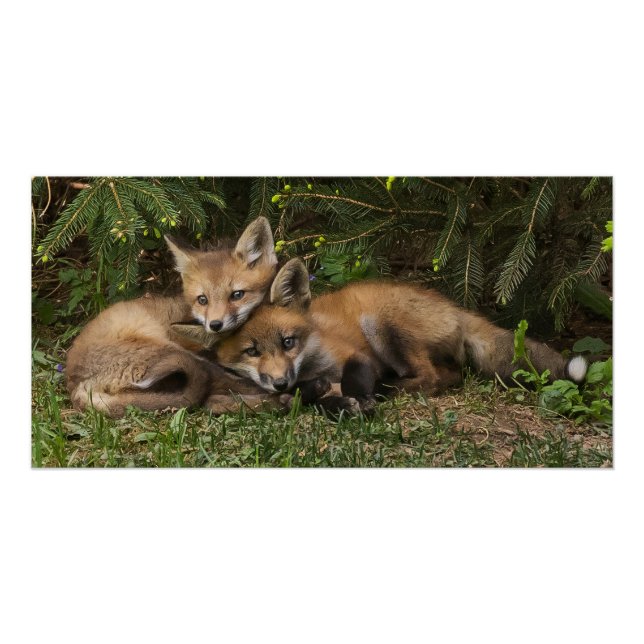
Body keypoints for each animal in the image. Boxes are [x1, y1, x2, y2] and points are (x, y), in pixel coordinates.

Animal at [65, 217, 287, 417]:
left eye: (237, 295)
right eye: (203, 299)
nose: (215, 325)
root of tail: (75, 384)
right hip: (173, 354)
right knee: (213, 391)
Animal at [215, 258, 589, 413]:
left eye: (287, 342)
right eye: (251, 352)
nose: (280, 382)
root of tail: (454, 306)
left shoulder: (355, 357)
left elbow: (352, 382)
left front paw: (359, 399)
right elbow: (309, 399)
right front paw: (336, 403)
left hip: (382, 327)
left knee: (431, 379)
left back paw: (386, 389)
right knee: (451, 375)